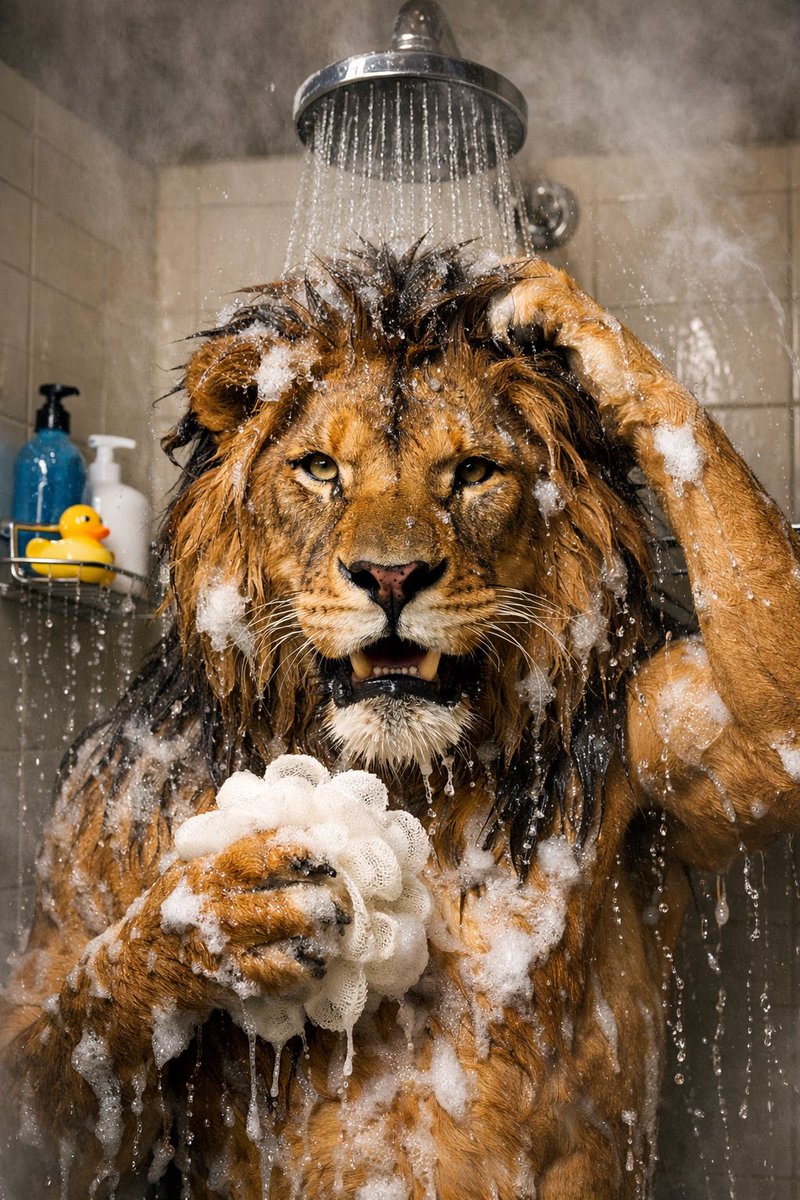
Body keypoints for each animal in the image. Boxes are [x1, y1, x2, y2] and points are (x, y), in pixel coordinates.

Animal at [2, 243, 800, 1199]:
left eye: (473, 472)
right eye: (319, 469)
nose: (390, 576)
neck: (408, 779)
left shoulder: (677, 732)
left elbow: (771, 744)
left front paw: (546, 312)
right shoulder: (100, 802)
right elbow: (44, 1081)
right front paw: (217, 920)